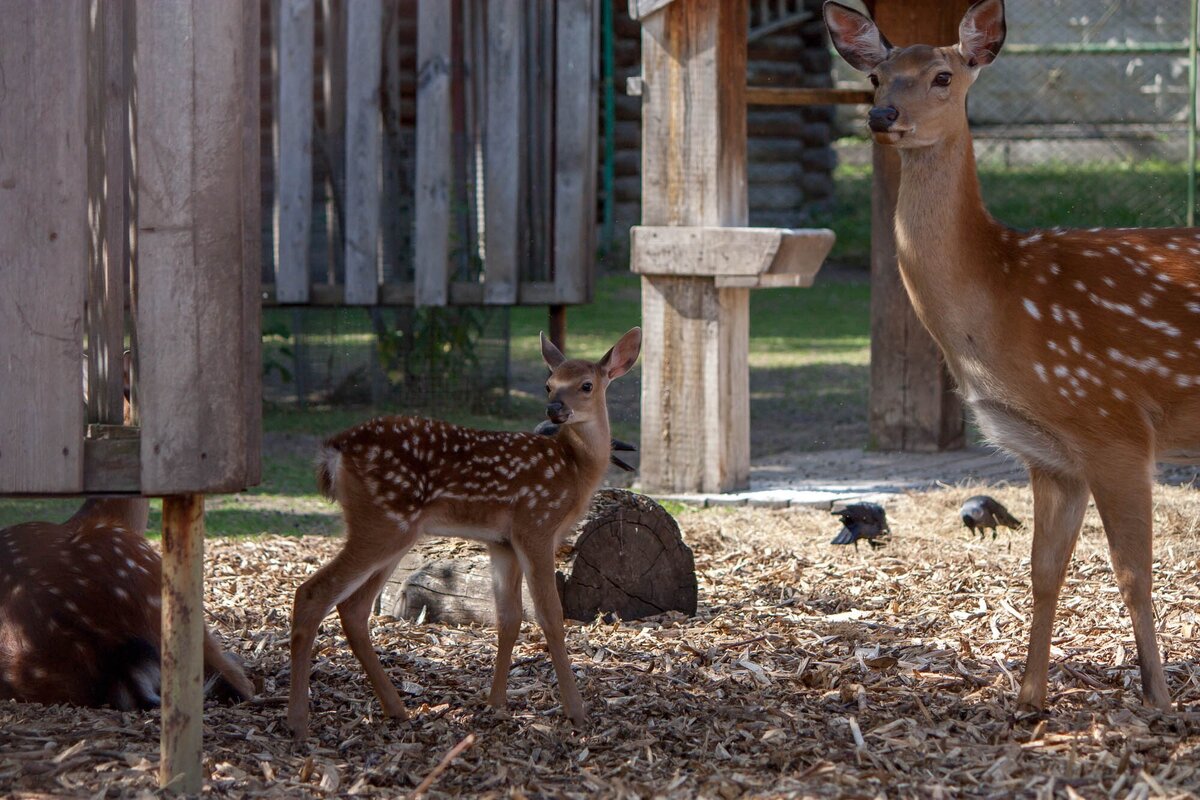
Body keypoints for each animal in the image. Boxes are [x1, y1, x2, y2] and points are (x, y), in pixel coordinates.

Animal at [289, 326, 643, 738]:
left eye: (586, 385)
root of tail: (335, 450)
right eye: (549, 384)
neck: (574, 470)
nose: (554, 408)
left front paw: (496, 704)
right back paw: (298, 722)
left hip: (393, 529)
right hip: (383, 522)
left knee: (353, 607)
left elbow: (509, 618)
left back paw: (397, 709)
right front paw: (576, 712)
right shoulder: (536, 524)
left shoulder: (502, 543)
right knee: (313, 593)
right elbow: (550, 616)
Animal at [825, 0, 1200, 714]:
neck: (1000, 304)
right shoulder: (1049, 455)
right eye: (876, 77)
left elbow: (1133, 572)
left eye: (943, 76)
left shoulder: (1114, 423)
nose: (883, 116)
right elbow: (1043, 570)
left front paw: (1159, 699)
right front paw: (1029, 698)